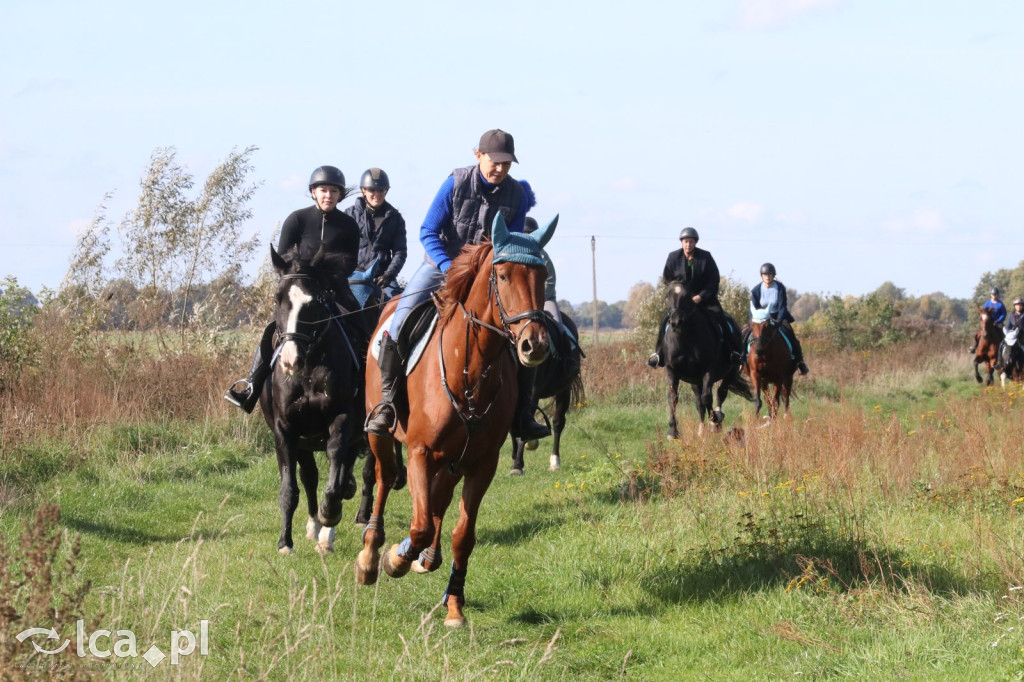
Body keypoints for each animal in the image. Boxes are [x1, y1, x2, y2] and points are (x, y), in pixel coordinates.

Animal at [260, 244, 368, 552]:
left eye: (315, 302)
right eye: (278, 298)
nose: (289, 360)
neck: (307, 370)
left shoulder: (342, 420)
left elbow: (336, 471)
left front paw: (329, 516)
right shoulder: (285, 431)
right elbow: (290, 488)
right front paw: (285, 542)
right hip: (305, 442)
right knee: (309, 477)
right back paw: (313, 525)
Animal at [354, 212, 561, 626]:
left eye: (541, 274)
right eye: (503, 276)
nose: (534, 345)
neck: (469, 369)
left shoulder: (482, 463)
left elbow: (461, 534)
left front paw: (454, 605)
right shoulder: (419, 451)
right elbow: (418, 525)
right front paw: (395, 559)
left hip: (452, 459)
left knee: (439, 500)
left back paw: (428, 560)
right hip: (384, 437)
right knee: (385, 478)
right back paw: (371, 557)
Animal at [659, 280, 757, 436]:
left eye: (688, 295)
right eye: (667, 294)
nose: (676, 322)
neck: (686, 339)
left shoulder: (708, 371)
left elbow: (707, 397)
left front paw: (715, 419)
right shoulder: (672, 370)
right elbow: (673, 397)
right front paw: (673, 431)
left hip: (731, 372)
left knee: (720, 393)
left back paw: (716, 419)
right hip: (695, 381)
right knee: (699, 403)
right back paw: (701, 429)